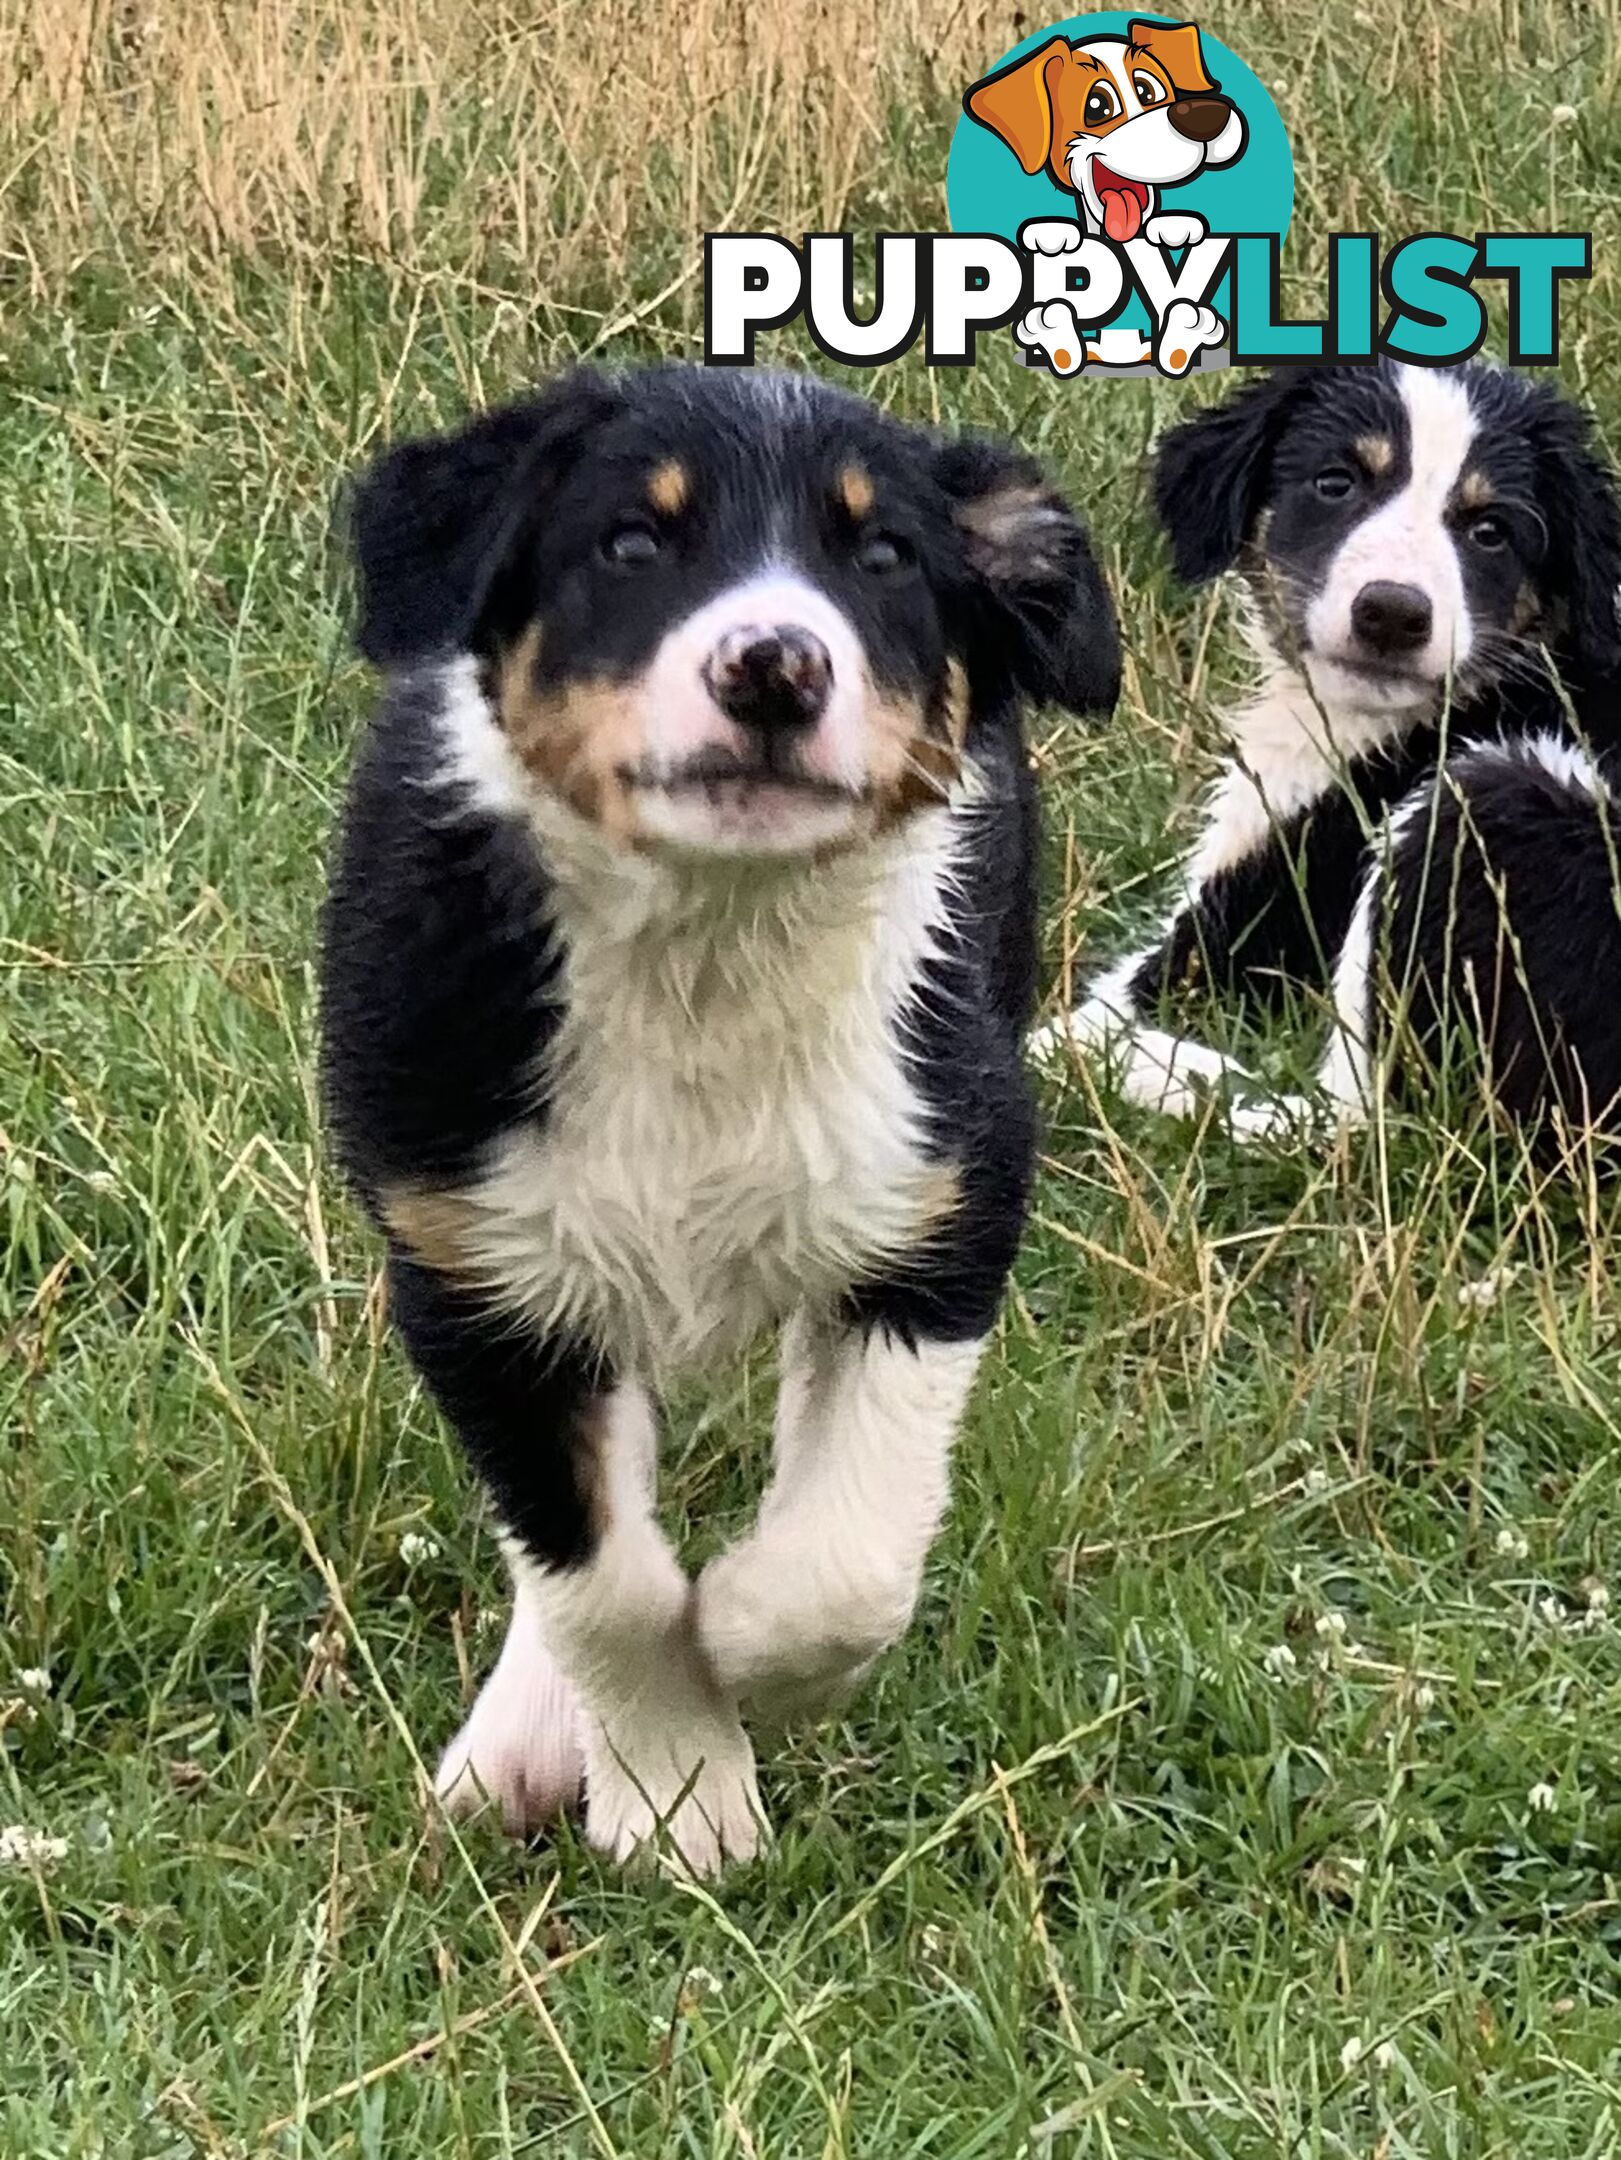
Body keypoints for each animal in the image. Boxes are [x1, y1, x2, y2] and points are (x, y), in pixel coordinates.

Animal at [324, 367, 1123, 1874]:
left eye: (886, 559)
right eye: (633, 543)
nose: (774, 666)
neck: (709, 946)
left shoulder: (944, 1195)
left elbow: (844, 1562)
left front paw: (745, 1652)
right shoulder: (463, 1267)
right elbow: (597, 1574)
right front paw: (676, 1791)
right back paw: (524, 1738)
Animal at [1033, 362, 1621, 1157]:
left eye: (1490, 530)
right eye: (1335, 483)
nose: (1392, 614)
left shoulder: (1248, 923)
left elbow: (1096, 1003)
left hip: (1485, 801)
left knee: (1367, 1126)